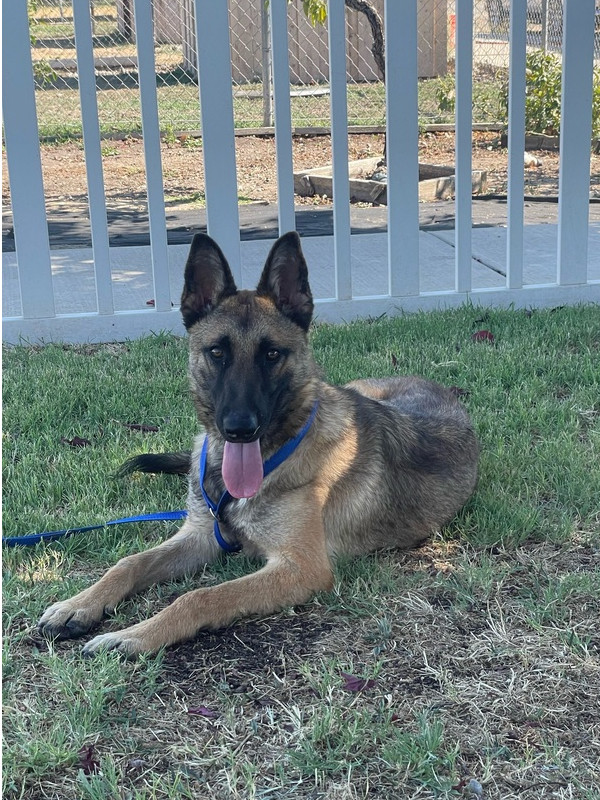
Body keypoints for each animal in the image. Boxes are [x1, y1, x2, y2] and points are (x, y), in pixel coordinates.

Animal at [37, 231, 478, 656]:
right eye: (217, 351)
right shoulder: (200, 536)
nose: (239, 428)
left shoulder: (300, 568)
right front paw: (79, 604)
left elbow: (200, 596)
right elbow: (128, 563)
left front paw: (135, 635)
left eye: (271, 354)